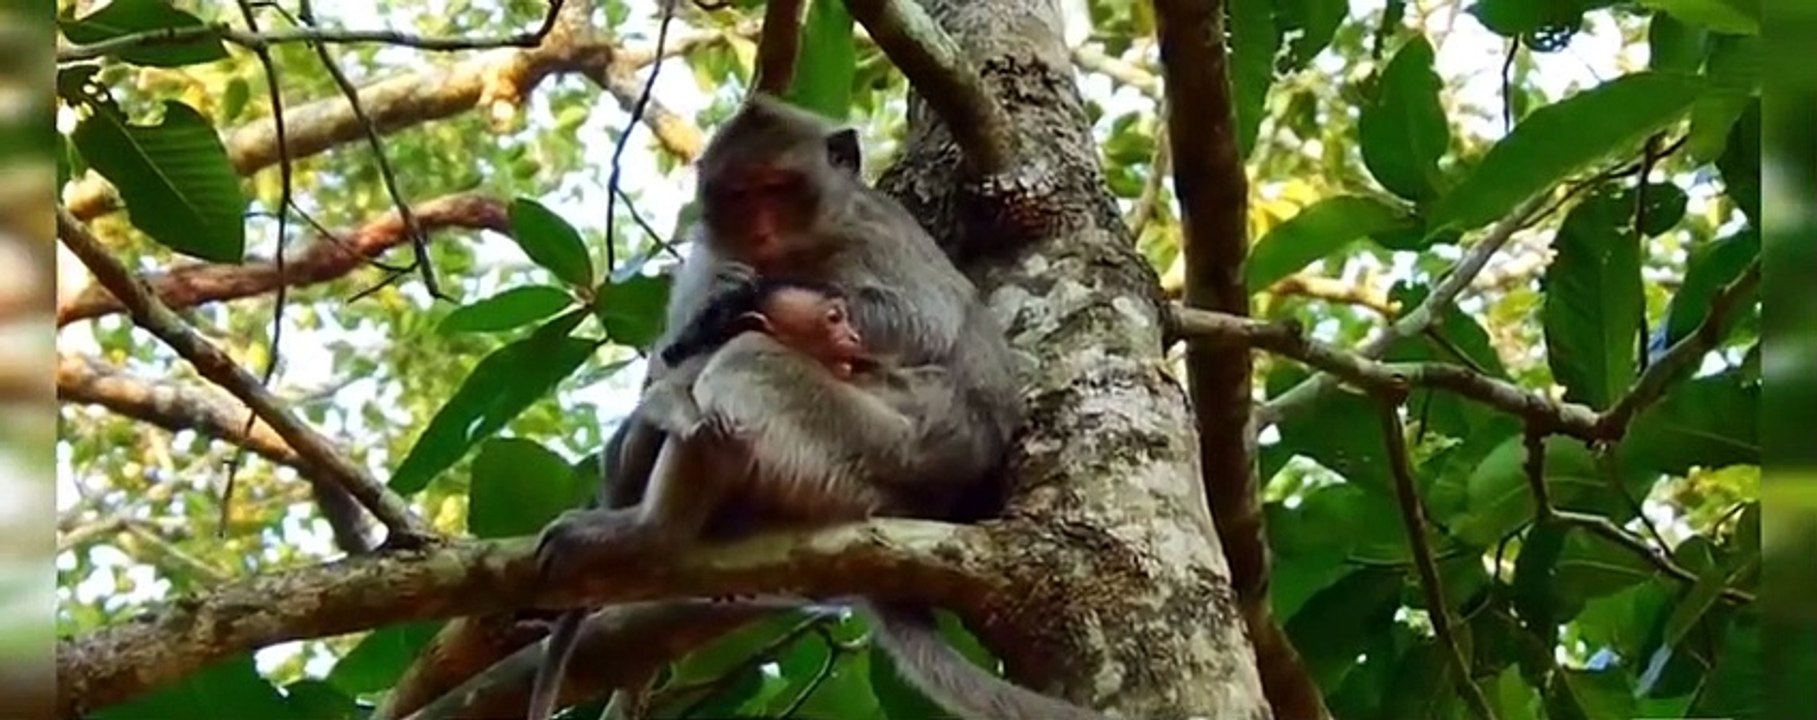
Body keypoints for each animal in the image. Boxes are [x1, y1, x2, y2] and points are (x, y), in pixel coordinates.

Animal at [531, 277, 1103, 720]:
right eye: (833, 318)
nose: (853, 335)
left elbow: (686, 395)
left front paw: (664, 415)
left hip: (841, 445)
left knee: (744, 363)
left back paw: (650, 531)